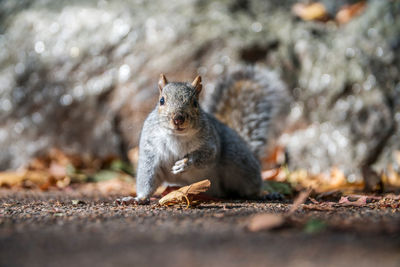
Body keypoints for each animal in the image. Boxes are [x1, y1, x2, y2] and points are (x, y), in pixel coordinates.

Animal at [117, 65, 290, 205]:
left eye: (195, 103)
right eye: (161, 101)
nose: (178, 118)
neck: (177, 137)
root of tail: (219, 191)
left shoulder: (211, 143)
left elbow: (208, 156)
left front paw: (186, 163)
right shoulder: (151, 151)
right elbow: (148, 177)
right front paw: (137, 198)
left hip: (238, 159)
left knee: (250, 187)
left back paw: (266, 194)